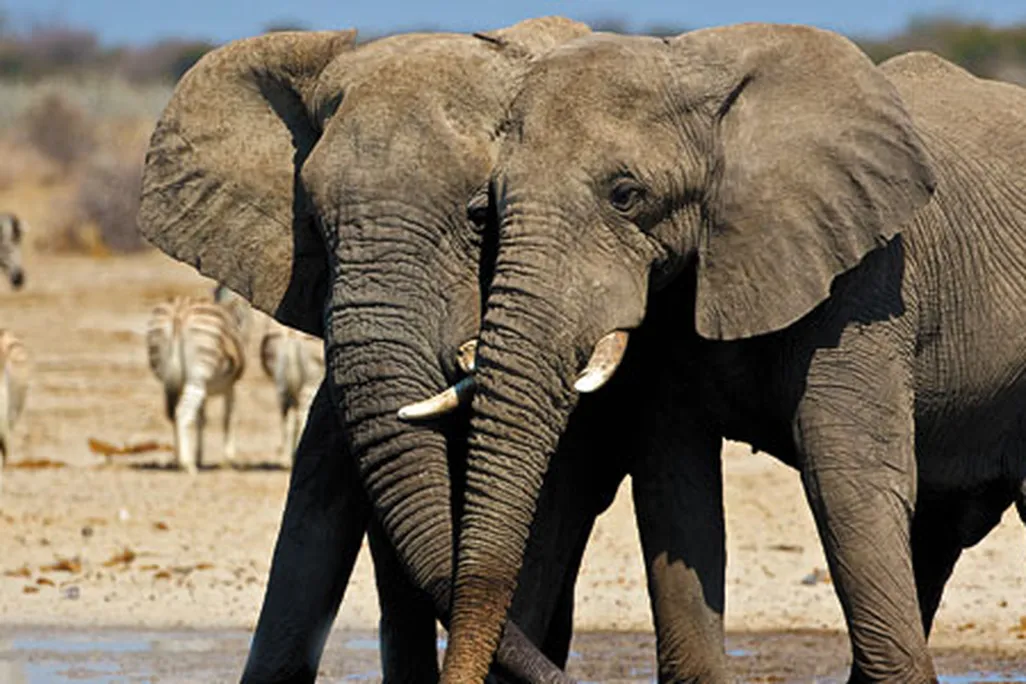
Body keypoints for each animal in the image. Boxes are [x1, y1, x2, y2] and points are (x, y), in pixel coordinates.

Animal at [429, 24, 1026, 684]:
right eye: (486, 206)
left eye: (625, 195)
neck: (694, 69)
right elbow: (675, 480)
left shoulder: (868, 281)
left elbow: (847, 478)